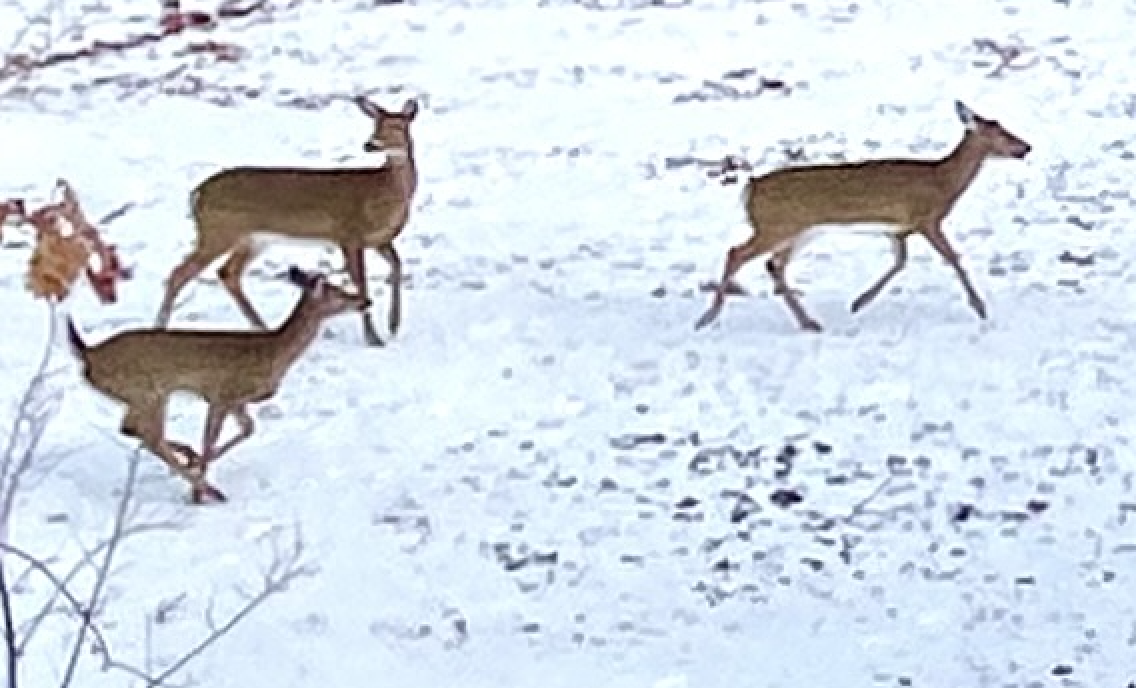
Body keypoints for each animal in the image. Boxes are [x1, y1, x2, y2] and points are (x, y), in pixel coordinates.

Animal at [68, 266, 370, 504]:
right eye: (339, 293)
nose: (365, 300)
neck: (274, 352)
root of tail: (88, 355)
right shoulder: (222, 393)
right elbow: (214, 437)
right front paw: (198, 485)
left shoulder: (236, 400)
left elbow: (248, 428)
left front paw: (201, 465)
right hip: (147, 391)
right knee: (147, 434)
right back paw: (208, 487)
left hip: (142, 396)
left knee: (131, 429)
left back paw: (192, 463)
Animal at [155, 94, 422, 347]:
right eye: (375, 125)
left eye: (397, 126)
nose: (370, 144)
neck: (383, 192)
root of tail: (197, 193)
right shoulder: (348, 235)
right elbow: (362, 284)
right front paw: (373, 338)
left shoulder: (379, 240)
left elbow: (397, 266)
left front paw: (394, 324)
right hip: (218, 232)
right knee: (180, 273)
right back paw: (160, 326)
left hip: (251, 239)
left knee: (227, 273)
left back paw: (261, 326)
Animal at [690, 100, 1031, 333]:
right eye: (999, 132)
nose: (1026, 147)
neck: (942, 180)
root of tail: (750, 187)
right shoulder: (927, 219)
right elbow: (954, 259)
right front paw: (980, 307)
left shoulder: (898, 230)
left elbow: (900, 262)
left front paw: (859, 302)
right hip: (776, 226)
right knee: (737, 253)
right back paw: (707, 318)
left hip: (797, 232)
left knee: (774, 265)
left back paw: (809, 322)